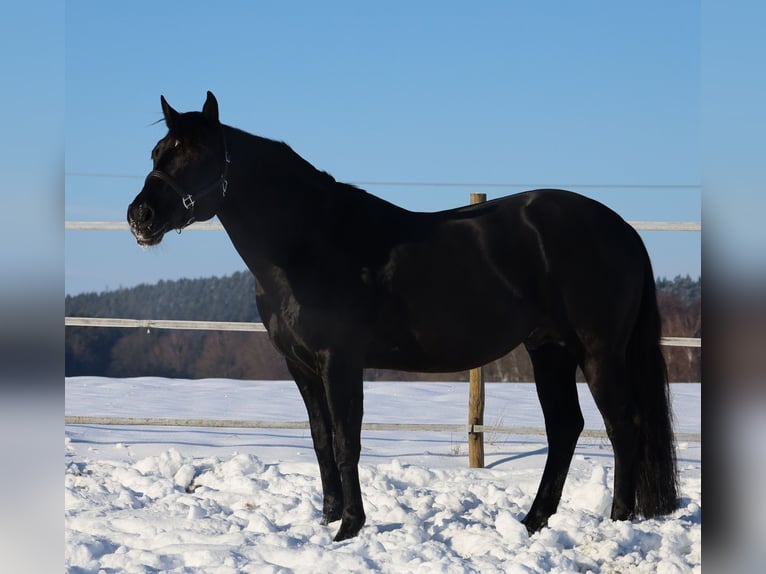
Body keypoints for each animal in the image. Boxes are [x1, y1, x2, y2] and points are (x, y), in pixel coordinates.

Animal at [128, 92, 678, 541]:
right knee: (566, 427)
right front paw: (328, 519)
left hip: (598, 352)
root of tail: (622, 228)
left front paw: (349, 527)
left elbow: (346, 440)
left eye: (195, 155)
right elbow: (321, 440)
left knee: (623, 425)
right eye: (157, 153)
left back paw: (618, 519)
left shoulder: (340, 361)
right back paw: (533, 521)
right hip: (550, 350)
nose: (140, 217)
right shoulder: (300, 365)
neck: (310, 243)